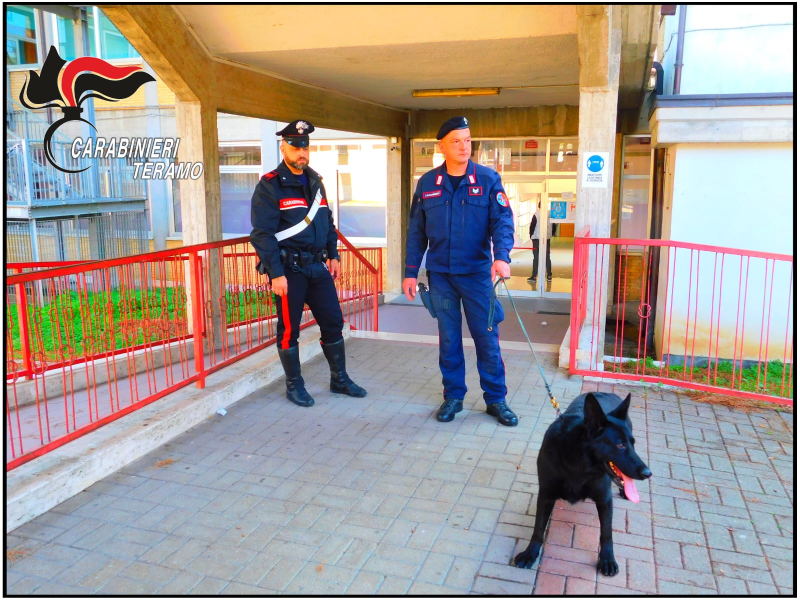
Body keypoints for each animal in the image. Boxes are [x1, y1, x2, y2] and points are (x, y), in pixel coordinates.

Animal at [512, 394, 648, 576]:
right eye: (620, 445)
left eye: (633, 444)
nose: (648, 473)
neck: (579, 465)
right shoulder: (546, 495)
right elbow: (538, 529)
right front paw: (530, 553)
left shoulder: (604, 500)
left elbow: (606, 533)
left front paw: (607, 560)